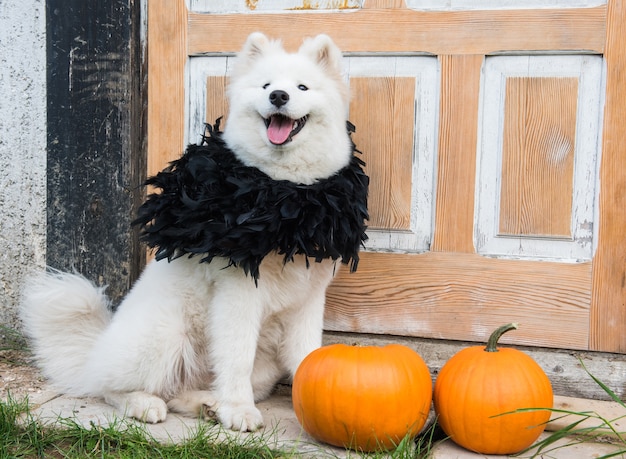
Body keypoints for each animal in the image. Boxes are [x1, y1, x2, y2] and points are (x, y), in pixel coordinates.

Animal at [19, 34, 356, 434]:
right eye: (266, 86)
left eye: (302, 87)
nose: (278, 96)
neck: (281, 191)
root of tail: (94, 353)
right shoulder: (239, 297)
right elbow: (236, 358)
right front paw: (239, 411)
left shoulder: (307, 301)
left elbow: (306, 354)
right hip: (166, 337)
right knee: (114, 389)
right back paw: (146, 404)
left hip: (260, 366)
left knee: (180, 392)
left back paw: (207, 404)